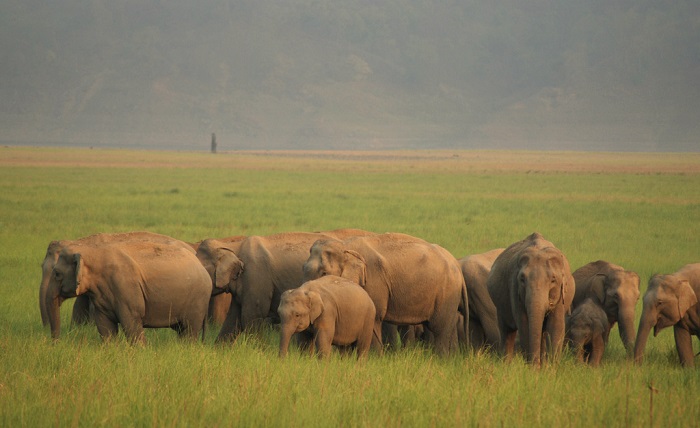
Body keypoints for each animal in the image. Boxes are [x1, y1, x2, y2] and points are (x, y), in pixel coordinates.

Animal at [45, 237, 212, 344]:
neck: (92, 252)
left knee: (189, 330)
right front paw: (111, 350)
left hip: (198, 299)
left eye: (57, 274)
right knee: (181, 330)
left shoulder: (126, 288)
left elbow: (130, 321)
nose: (56, 343)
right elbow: (105, 326)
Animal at [304, 232, 468, 356]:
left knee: (440, 327)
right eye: (303, 268)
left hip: (447, 291)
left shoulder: (374, 281)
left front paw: (375, 359)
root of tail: (456, 263)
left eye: (324, 273)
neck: (345, 245)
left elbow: (375, 315)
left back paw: (441, 359)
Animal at [486, 232, 576, 366]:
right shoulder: (515, 289)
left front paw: (551, 368)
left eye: (553, 280)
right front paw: (533, 368)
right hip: (500, 306)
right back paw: (506, 365)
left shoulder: (561, 295)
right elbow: (524, 324)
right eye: (522, 279)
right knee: (507, 331)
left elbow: (556, 326)